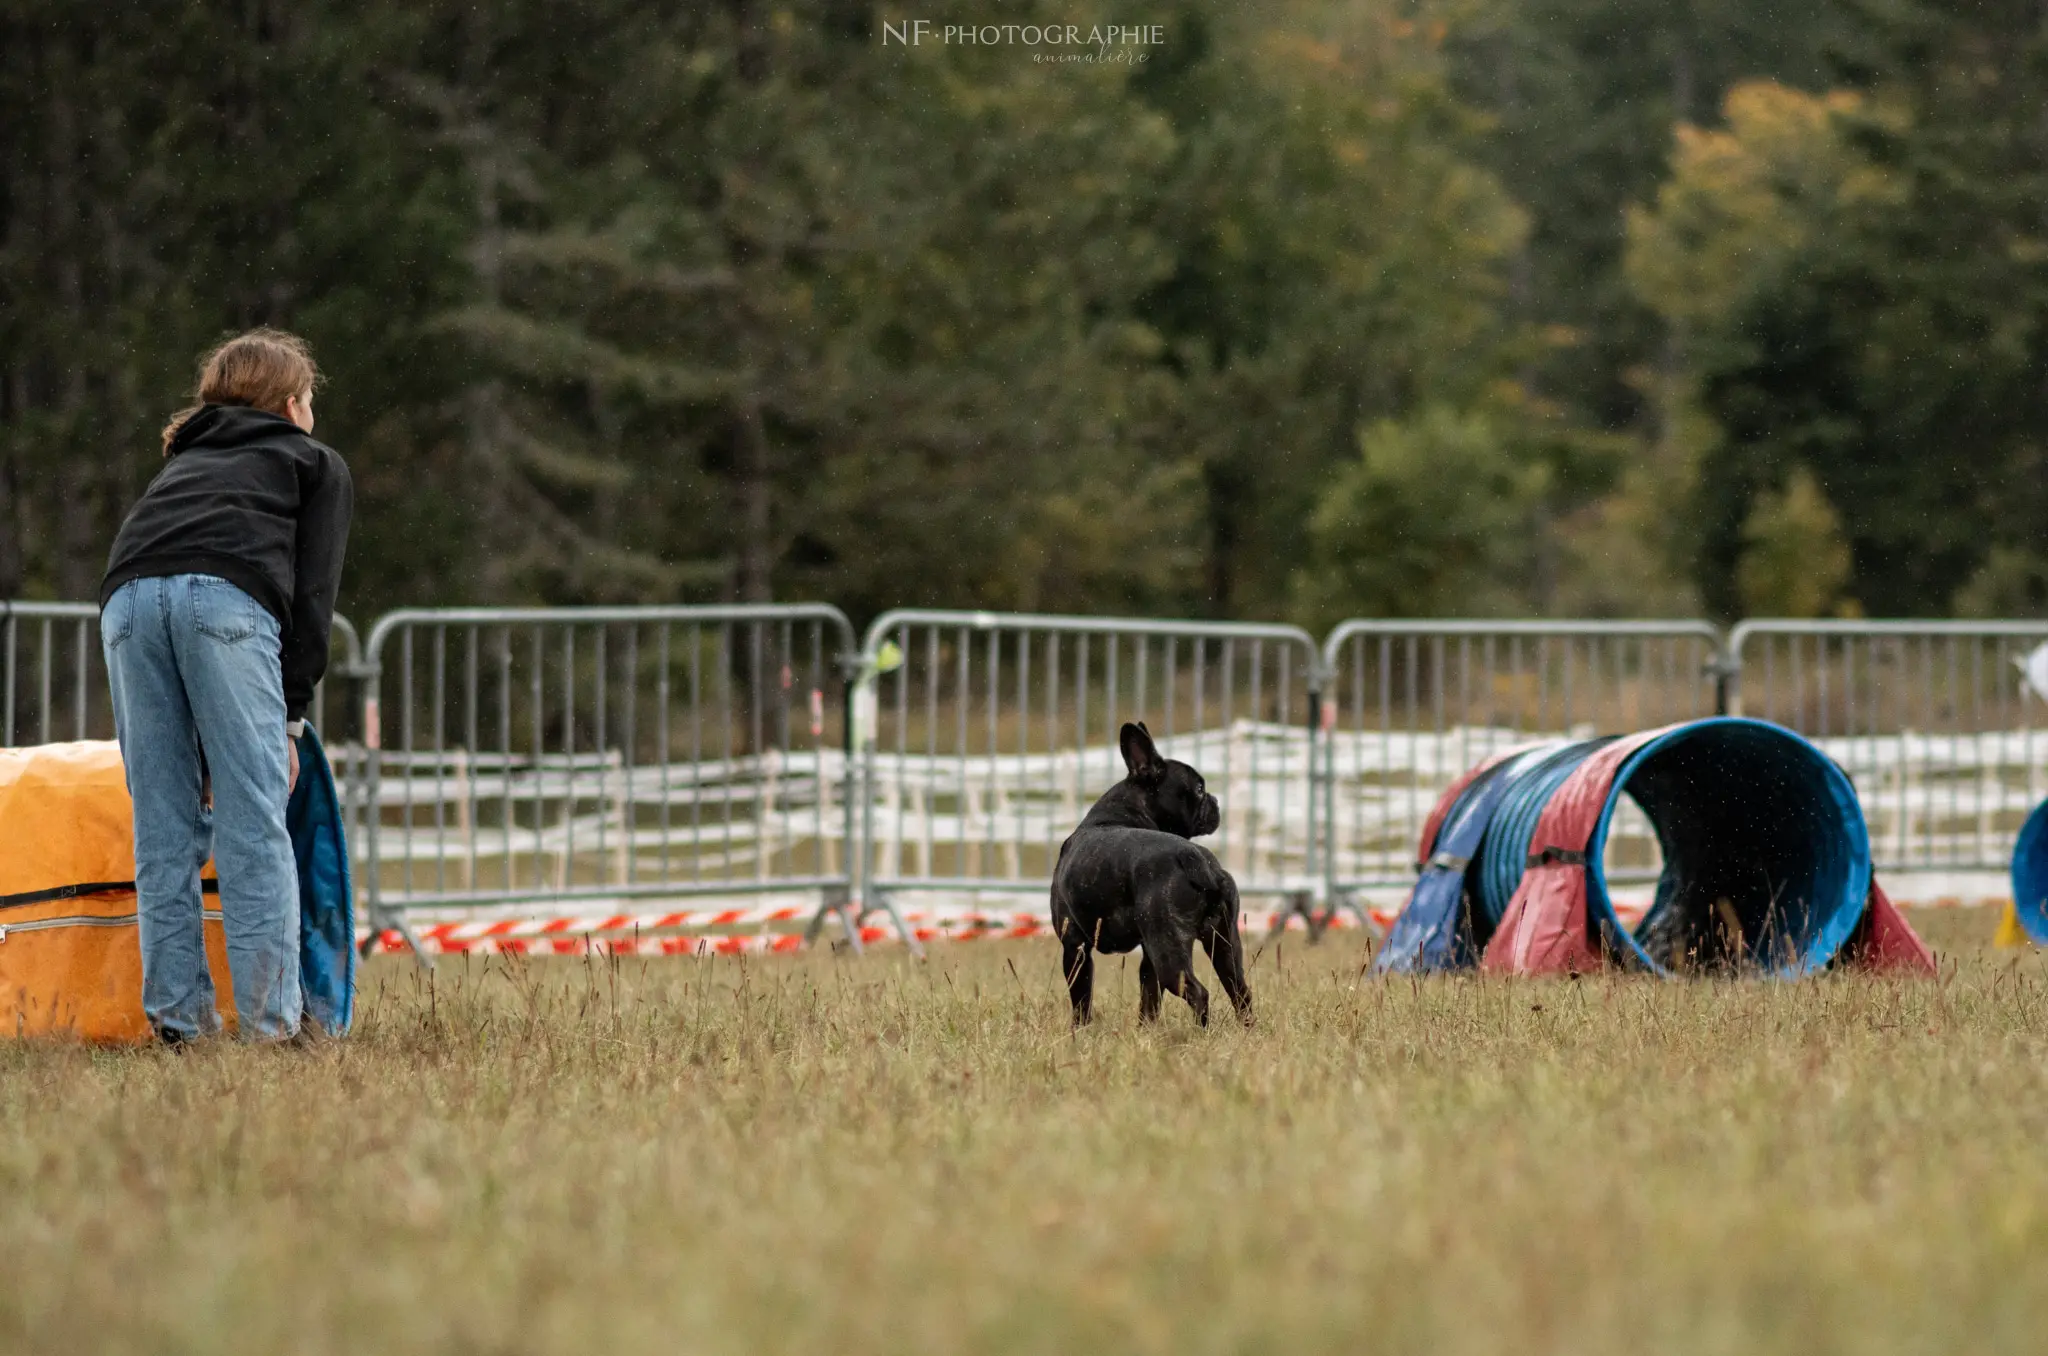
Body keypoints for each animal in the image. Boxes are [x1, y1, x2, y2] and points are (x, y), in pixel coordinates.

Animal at [1048, 721, 1253, 1032]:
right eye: (1199, 788)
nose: (1215, 800)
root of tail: (1198, 861)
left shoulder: (1075, 945)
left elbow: (1081, 999)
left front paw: (1079, 1032)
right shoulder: (1148, 953)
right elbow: (1149, 998)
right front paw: (1146, 1032)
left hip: (1170, 949)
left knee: (1197, 992)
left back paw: (1202, 1034)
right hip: (1224, 943)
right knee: (1240, 991)